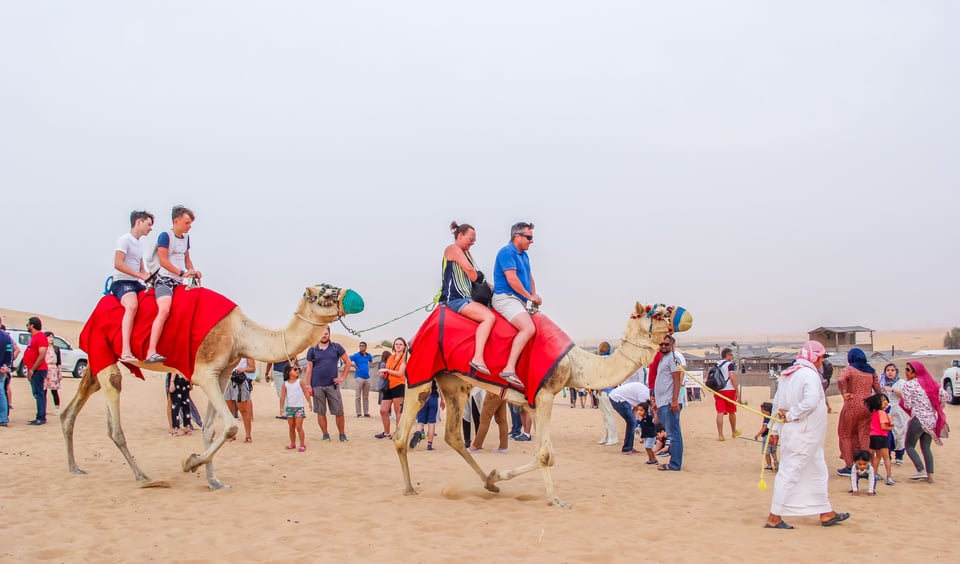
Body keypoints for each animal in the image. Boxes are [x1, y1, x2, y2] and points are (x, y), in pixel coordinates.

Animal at [62, 282, 364, 490]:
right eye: (324, 294)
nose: (354, 297)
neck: (240, 332)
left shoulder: (223, 373)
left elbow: (209, 428)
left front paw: (213, 481)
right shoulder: (204, 372)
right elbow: (230, 425)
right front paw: (190, 462)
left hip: (98, 357)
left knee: (74, 408)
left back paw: (74, 467)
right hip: (103, 348)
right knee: (114, 413)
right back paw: (142, 476)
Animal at [394, 302, 692, 508]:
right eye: (658, 313)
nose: (685, 316)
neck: (576, 364)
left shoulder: (534, 401)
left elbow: (544, 453)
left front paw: (495, 476)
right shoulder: (546, 393)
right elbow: (546, 455)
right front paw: (556, 500)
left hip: (454, 383)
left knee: (454, 435)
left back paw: (487, 484)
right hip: (421, 373)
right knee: (400, 434)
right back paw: (408, 488)